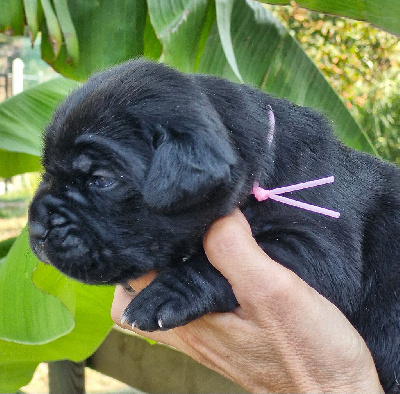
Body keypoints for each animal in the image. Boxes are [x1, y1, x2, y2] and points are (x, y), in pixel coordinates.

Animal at [28, 58, 400, 390]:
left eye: (100, 180)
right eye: (46, 171)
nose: (35, 230)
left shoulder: (319, 248)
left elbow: (211, 264)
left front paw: (167, 293)